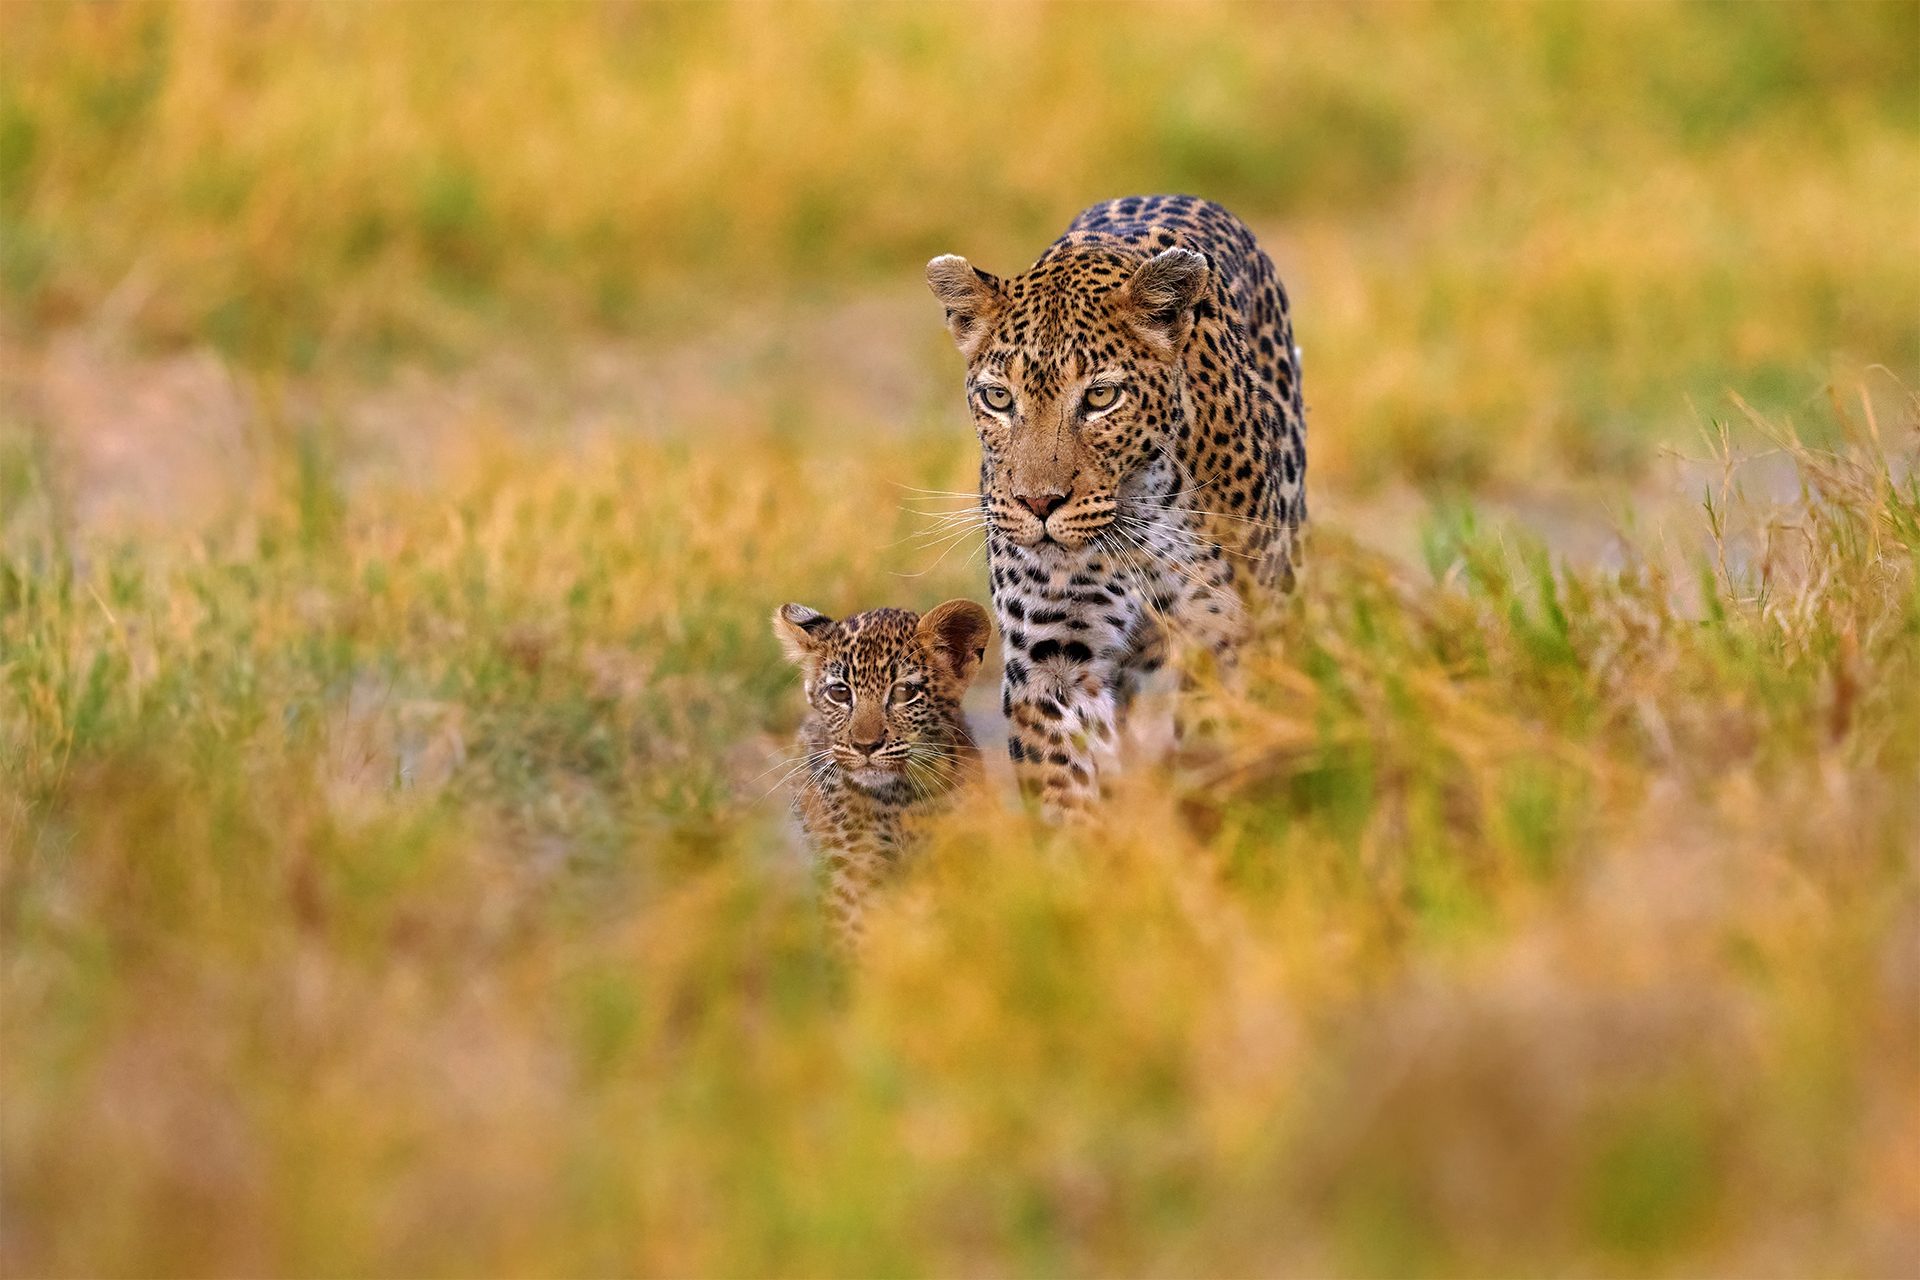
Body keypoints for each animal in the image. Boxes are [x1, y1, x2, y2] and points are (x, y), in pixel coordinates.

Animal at [926, 194, 1306, 821]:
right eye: (998, 398)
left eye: (1101, 397)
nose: (1038, 502)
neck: (1139, 512)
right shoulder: (1054, 658)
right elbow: (1066, 784)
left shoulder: (1225, 637)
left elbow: (1214, 741)